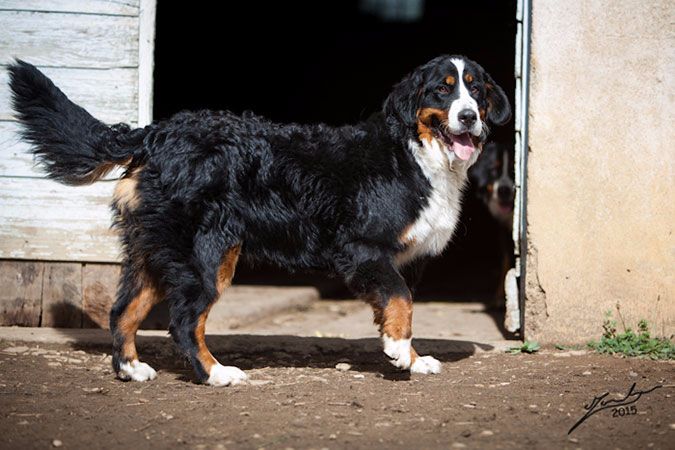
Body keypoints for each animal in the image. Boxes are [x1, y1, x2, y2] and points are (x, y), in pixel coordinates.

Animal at [9, 55, 508, 386]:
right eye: (443, 89)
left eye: (476, 90)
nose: (468, 117)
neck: (416, 155)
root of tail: (156, 132)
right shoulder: (364, 249)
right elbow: (401, 302)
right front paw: (400, 353)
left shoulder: (405, 261)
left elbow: (399, 305)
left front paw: (412, 357)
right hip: (206, 258)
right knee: (185, 321)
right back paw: (216, 373)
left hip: (156, 253)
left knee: (123, 311)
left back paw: (132, 369)